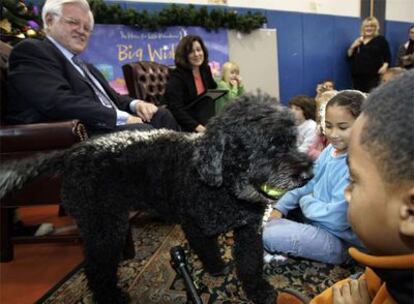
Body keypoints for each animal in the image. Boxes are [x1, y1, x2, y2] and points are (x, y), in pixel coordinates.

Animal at [0, 94, 312, 302]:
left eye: (292, 140)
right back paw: (111, 296)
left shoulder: (248, 230)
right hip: (102, 225)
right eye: (269, 145)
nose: (307, 173)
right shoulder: (194, 226)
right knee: (95, 266)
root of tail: (71, 153)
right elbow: (209, 249)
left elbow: (250, 263)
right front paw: (216, 268)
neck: (222, 186)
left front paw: (258, 290)